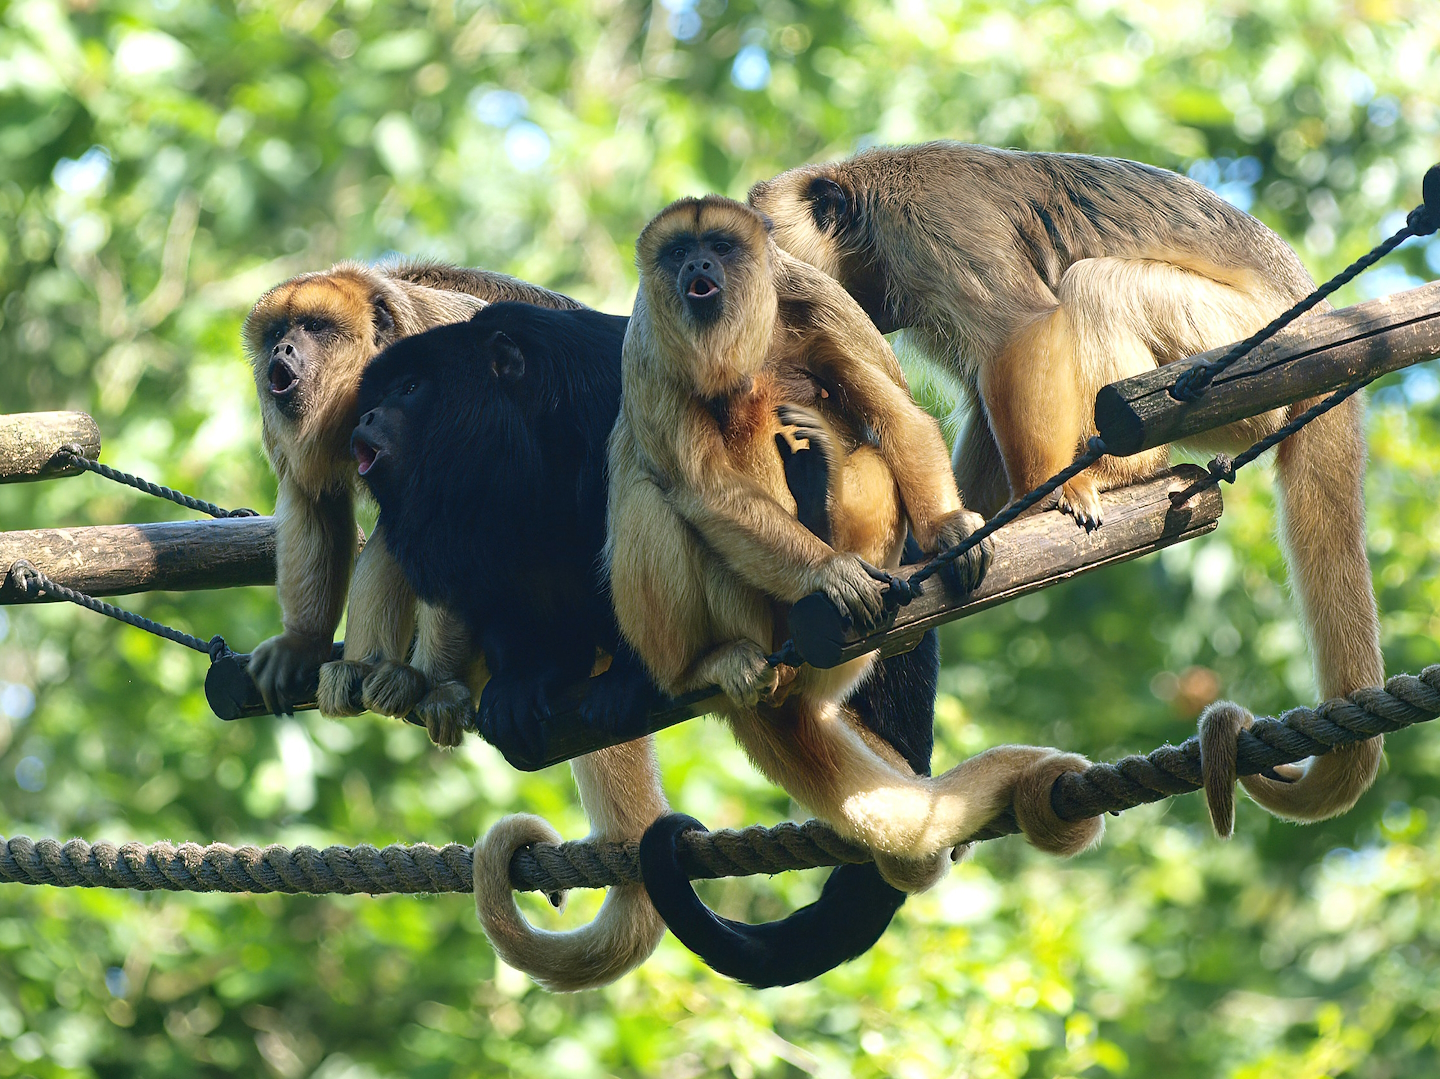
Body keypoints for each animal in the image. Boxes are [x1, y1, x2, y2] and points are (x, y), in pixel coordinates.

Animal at [242, 260, 583, 741]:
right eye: (277, 331)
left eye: (314, 326)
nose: (282, 349)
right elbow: (314, 498)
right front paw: (302, 643)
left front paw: (437, 685)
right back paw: (362, 667)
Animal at [350, 299, 952, 987]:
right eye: (380, 394)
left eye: (411, 389)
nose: (365, 416)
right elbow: (503, 579)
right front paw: (525, 680)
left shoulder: (604, 391)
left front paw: (626, 681)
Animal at [607, 195, 1104, 901]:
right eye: (679, 253)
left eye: (720, 247)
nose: (698, 267)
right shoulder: (646, 348)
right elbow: (701, 487)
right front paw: (832, 574)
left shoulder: (820, 300)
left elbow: (899, 416)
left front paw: (949, 525)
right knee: (655, 495)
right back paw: (704, 667)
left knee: (863, 457)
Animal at [749, 143, 1384, 826]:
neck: (865, 221)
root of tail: (1323, 326)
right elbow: (984, 396)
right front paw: (946, 535)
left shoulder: (928, 228)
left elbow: (1019, 331)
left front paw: (1042, 497)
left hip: (1242, 341)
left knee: (1097, 283)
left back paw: (1121, 466)